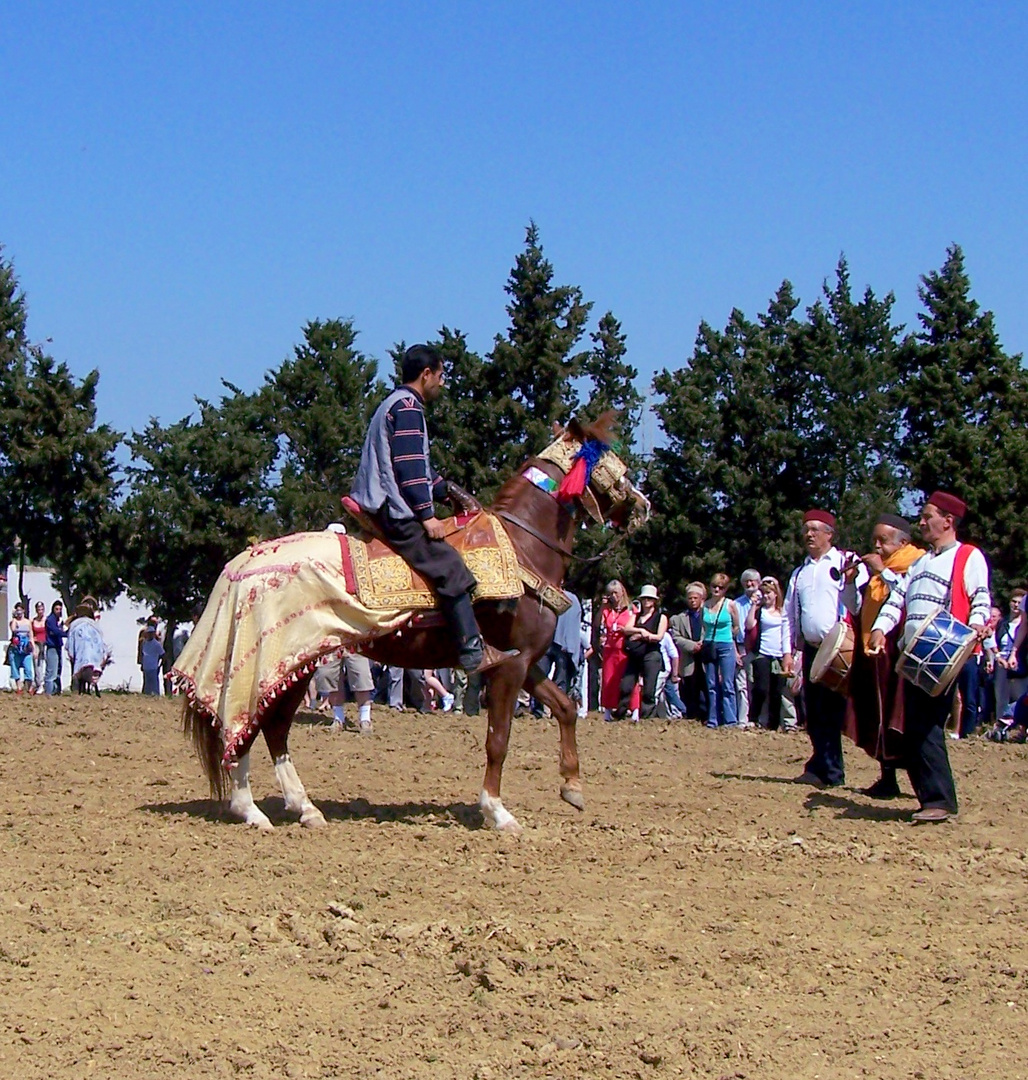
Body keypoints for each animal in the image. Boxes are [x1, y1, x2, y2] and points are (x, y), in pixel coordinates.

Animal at [174, 419, 643, 833]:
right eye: (614, 465)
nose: (643, 505)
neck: (523, 548)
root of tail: (243, 563)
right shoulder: (509, 668)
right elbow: (499, 739)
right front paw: (497, 812)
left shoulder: (526, 663)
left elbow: (564, 708)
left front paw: (572, 786)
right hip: (278, 666)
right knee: (254, 729)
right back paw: (252, 810)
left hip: (291, 667)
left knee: (269, 731)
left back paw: (301, 808)